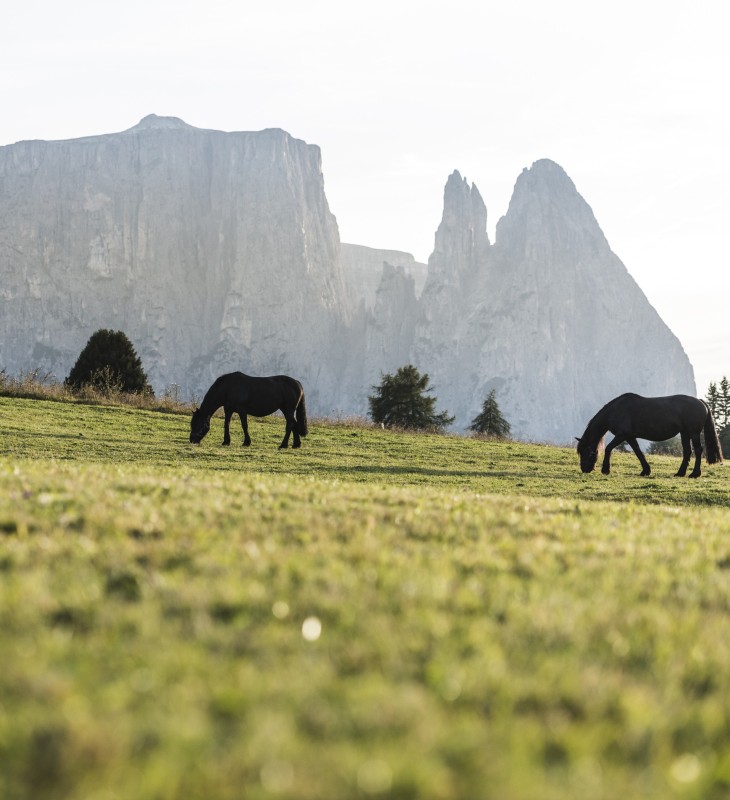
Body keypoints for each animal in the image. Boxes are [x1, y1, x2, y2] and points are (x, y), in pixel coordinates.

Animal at [576, 393, 723, 478]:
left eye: (585, 452)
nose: (584, 469)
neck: (616, 410)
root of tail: (700, 401)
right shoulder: (630, 437)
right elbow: (638, 452)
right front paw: (646, 471)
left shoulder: (622, 435)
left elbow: (608, 448)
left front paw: (605, 470)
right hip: (684, 433)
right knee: (687, 451)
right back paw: (680, 473)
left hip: (693, 433)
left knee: (698, 450)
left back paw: (694, 474)